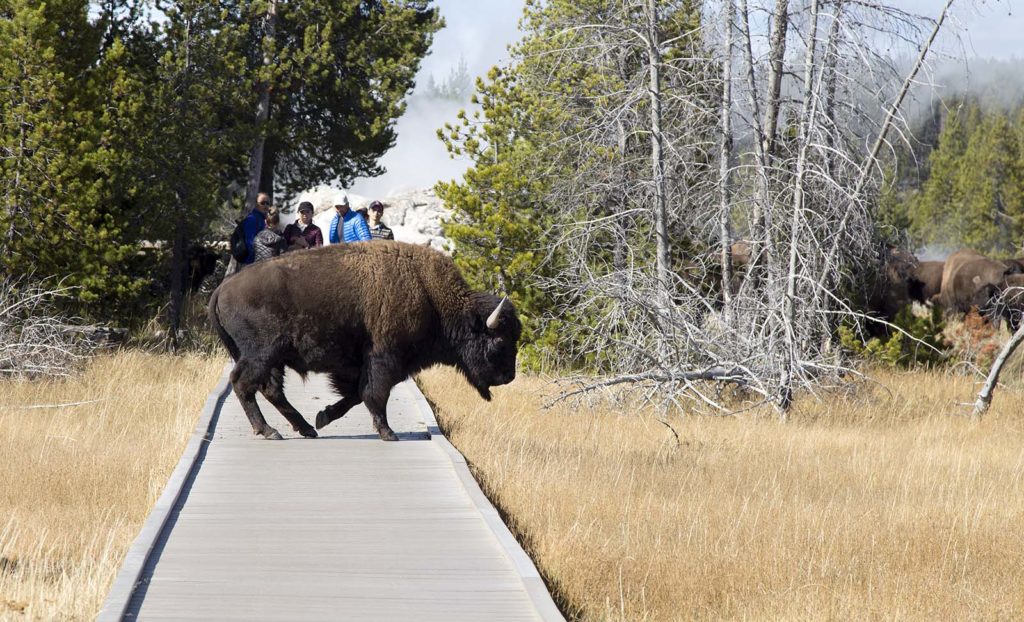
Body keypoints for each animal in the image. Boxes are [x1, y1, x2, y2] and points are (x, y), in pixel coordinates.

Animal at [210, 241, 524, 442]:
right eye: (499, 342)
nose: (509, 376)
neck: (432, 297)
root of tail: (222, 289)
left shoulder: (359, 365)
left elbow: (357, 395)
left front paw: (324, 415)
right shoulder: (385, 359)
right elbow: (375, 393)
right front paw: (389, 434)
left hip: (273, 359)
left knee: (270, 389)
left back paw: (306, 428)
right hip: (262, 354)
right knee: (244, 384)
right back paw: (269, 432)